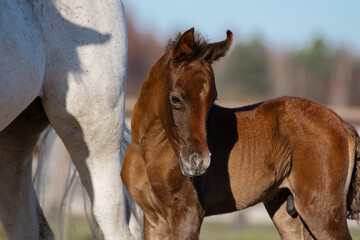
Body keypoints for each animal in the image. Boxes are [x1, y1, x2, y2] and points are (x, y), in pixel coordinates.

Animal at [121, 28, 360, 240]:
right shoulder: (154, 218)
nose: (199, 162)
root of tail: (341, 122)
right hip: (286, 209)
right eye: (175, 98)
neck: (147, 149)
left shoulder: (188, 212)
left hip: (322, 209)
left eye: (213, 99)